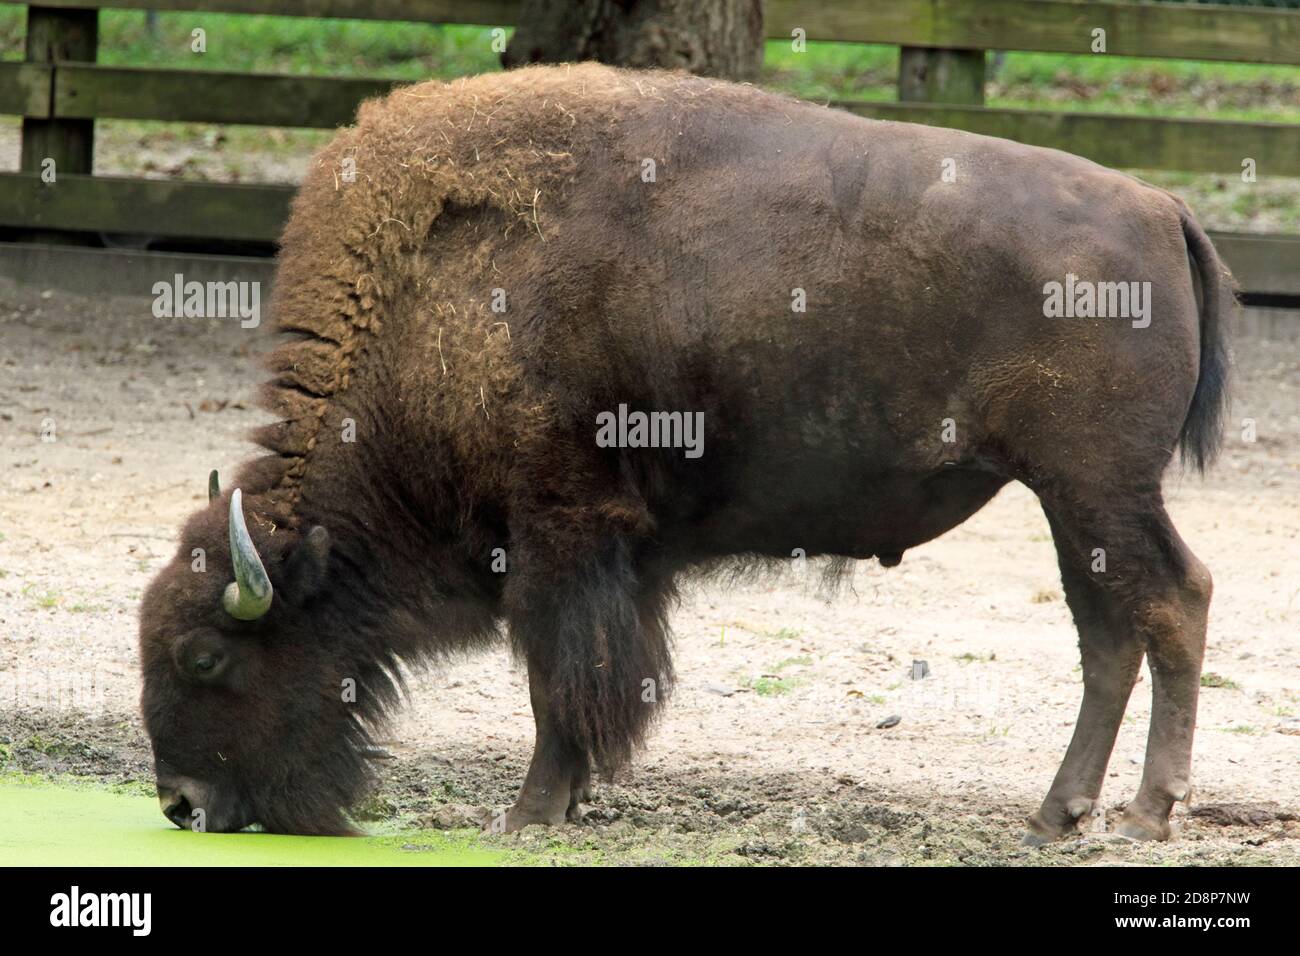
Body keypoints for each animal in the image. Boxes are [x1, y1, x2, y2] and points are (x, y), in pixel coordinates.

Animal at [139, 65, 1227, 842]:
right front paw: (568, 799)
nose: (182, 803)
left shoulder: (560, 533)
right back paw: (1059, 814)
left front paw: (528, 812)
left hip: (1093, 486)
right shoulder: (617, 550)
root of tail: (1157, 205)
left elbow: (560, 679)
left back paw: (1145, 812)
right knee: (1109, 632)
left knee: (1171, 602)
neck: (432, 295)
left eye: (204, 654)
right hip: (1072, 501)